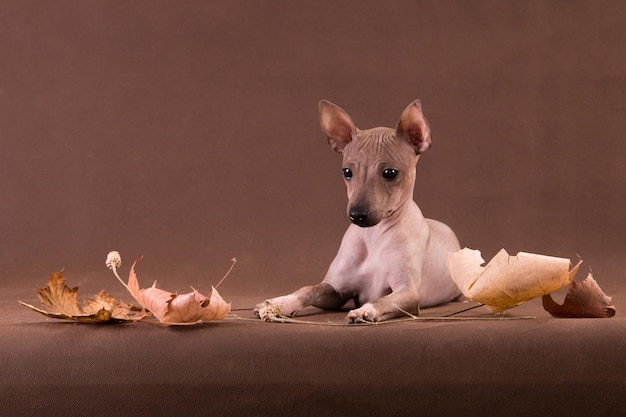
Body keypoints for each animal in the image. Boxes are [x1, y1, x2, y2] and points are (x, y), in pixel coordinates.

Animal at [252, 100, 458, 322]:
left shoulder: (408, 291)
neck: (374, 236)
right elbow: (308, 289)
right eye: (347, 172)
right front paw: (279, 303)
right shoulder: (336, 291)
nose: (357, 214)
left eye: (390, 173)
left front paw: (365, 311)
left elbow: (382, 300)